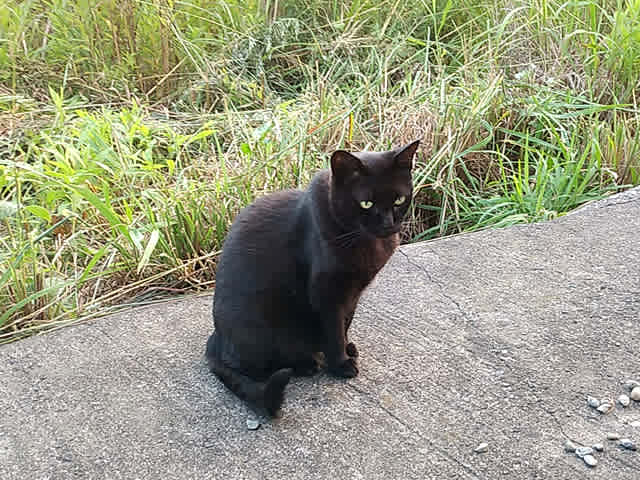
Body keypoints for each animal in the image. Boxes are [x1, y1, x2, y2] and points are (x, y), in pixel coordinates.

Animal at [205, 140, 420, 416]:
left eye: (399, 199)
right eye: (366, 203)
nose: (388, 224)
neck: (368, 243)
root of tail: (217, 338)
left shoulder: (353, 294)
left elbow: (345, 323)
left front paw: (347, 348)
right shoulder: (326, 293)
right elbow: (334, 329)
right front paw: (340, 364)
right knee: (253, 368)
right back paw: (304, 364)